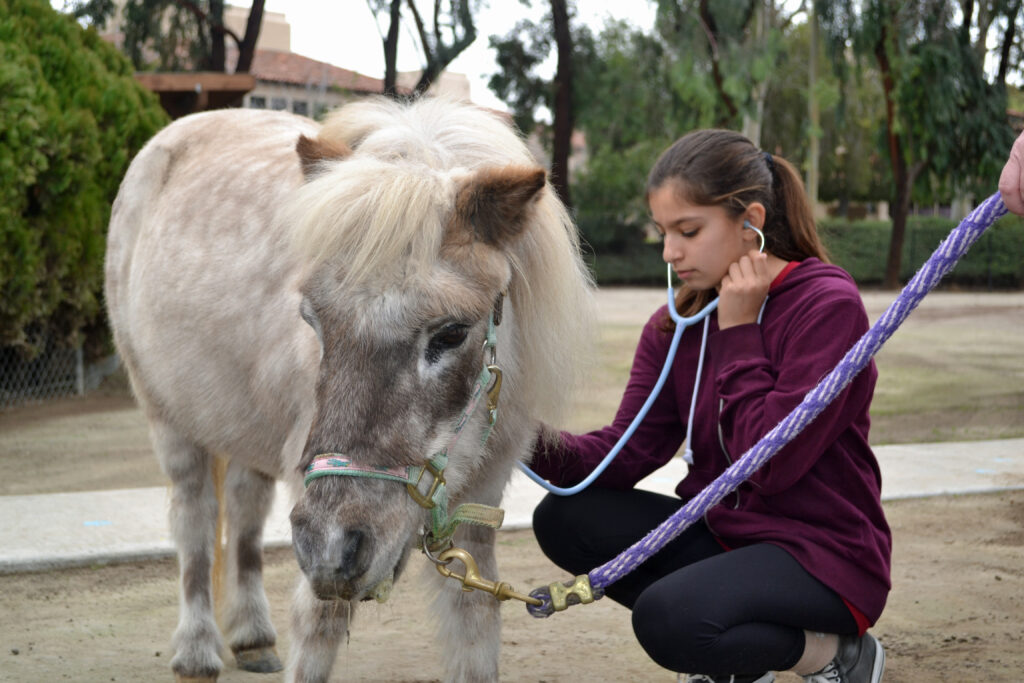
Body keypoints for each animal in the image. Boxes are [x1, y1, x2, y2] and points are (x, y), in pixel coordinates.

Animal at [102, 97, 593, 683]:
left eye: (452, 333)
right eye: (312, 319)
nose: (332, 548)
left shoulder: (481, 498)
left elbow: (474, 620)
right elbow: (320, 622)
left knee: (244, 511)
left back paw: (252, 637)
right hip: (168, 420)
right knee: (195, 522)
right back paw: (197, 650)